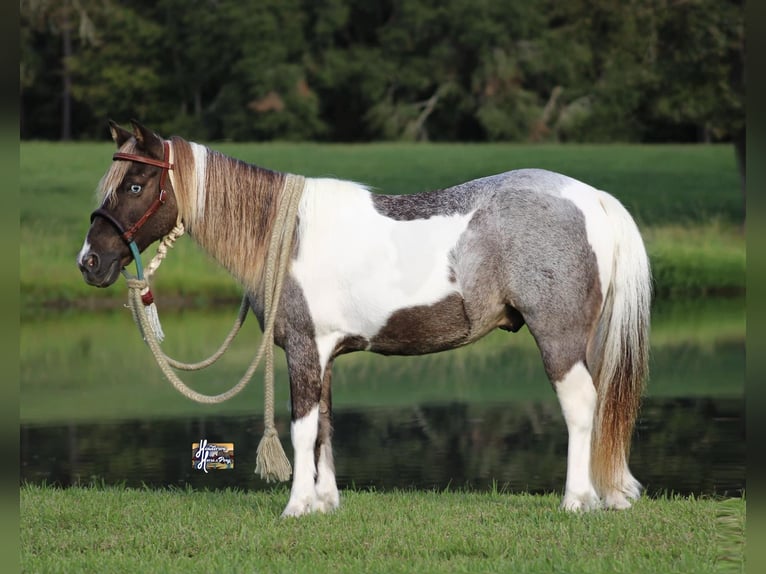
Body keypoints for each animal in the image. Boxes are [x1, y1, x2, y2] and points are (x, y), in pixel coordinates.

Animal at [78, 120, 652, 516]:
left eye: (134, 186)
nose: (89, 261)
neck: (288, 235)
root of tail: (592, 198)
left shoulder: (305, 349)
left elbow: (302, 428)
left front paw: (296, 507)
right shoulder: (325, 354)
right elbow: (325, 426)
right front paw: (324, 503)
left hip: (559, 339)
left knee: (580, 406)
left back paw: (576, 500)